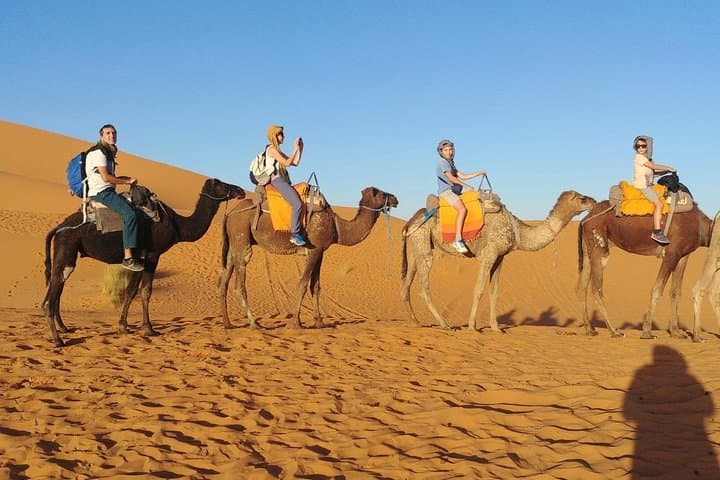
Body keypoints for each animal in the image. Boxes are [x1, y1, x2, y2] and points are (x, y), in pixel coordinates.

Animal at [42, 178, 245, 347]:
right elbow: (146, 292)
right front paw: (149, 329)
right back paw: (58, 339)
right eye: (222, 184)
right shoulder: (153, 255)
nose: (241, 190)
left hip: (66, 253)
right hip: (66, 249)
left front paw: (123, 326)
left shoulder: (138, 259)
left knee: (56, 283)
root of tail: (59, 228)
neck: (177, 225)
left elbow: (132, 291)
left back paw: (63, 328)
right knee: (57, 284)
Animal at [218, 186, 398, 329]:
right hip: (242, 236)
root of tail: (230, 213)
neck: (337, 227)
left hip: (233, 245)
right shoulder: (314, 250)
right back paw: (254, 323)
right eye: (382, 193)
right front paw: (297, 323)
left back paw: (228, 324)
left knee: (224, 281)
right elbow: (303, 283)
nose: (395, 199)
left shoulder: (320, 251)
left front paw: (319, 322)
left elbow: (315, 286)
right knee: (239, 284)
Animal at [400, 190, 596, 330]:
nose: (594, 201)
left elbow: (494, 291)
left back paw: (416, 322)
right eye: (581, 198)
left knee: (406, 284)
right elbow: (478, 289)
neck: (517, 231)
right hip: (423, 244)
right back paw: (445, 324)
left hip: (414, 247)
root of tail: (410, 221)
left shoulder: (500, 258)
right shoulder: (489, 254)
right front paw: (472, 326)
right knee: (424, 287)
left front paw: (495, 327)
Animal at [576, 201, 714, 339]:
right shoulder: (672, 253)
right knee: (596, 289)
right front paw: (647, 332)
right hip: (599, 244)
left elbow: (675, 293)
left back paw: (590, 329)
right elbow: (657, 289)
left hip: (588, 250)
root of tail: (586, 217)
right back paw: (614, 331)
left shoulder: (683, 256)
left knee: (582, 288)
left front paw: (676, 332)